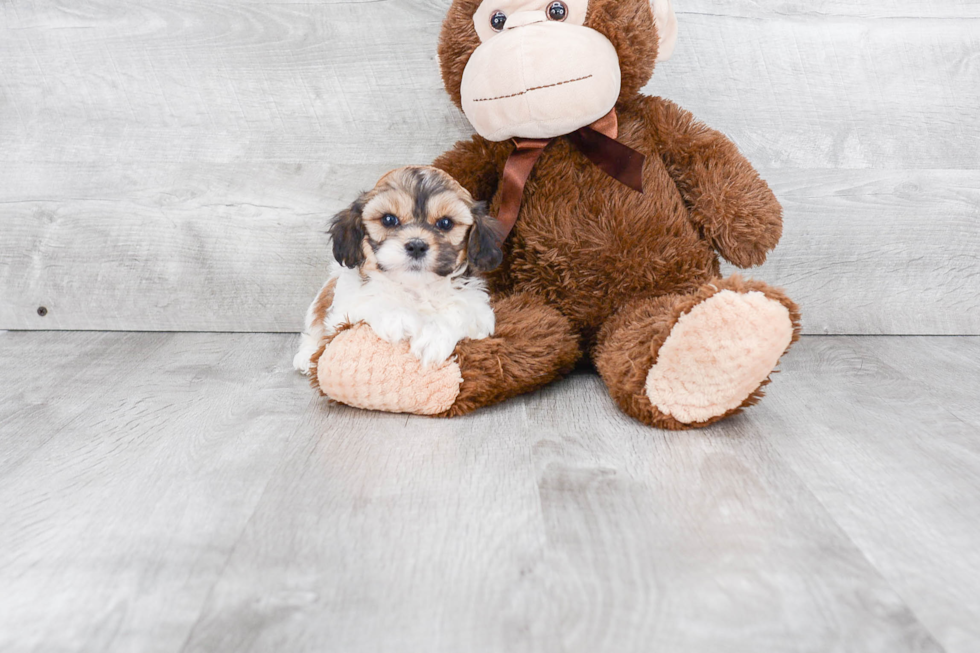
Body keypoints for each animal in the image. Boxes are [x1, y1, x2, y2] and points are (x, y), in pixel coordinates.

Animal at [292, 166, 506, 374]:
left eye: (445, 223)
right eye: (388, 220)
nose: (417, 245)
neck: (416, 287)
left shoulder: (479, 312)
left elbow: (459, 312)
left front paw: (433, 338)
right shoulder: (344, 309)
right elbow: (371, 302)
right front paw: (398, 319)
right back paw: (306, 356)